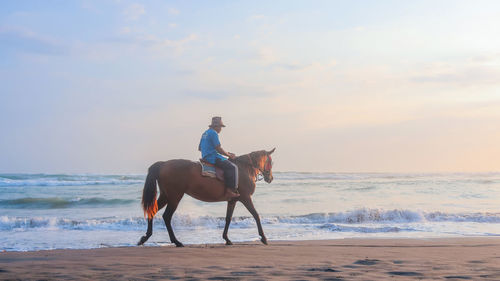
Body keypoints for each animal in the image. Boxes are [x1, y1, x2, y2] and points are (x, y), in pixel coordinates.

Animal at [139, 148, 276, 246]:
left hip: (166, 195)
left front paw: (226, 239)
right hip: (174, 197)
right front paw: (263, 238)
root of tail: (163, 164)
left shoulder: (232, 200)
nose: (270, 178)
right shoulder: (246, 198)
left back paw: (146, 237)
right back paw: (176, 241)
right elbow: (256, 215)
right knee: (167, 217)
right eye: (270, 162)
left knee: (152, 211)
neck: (244, 169)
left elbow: (228, 219)